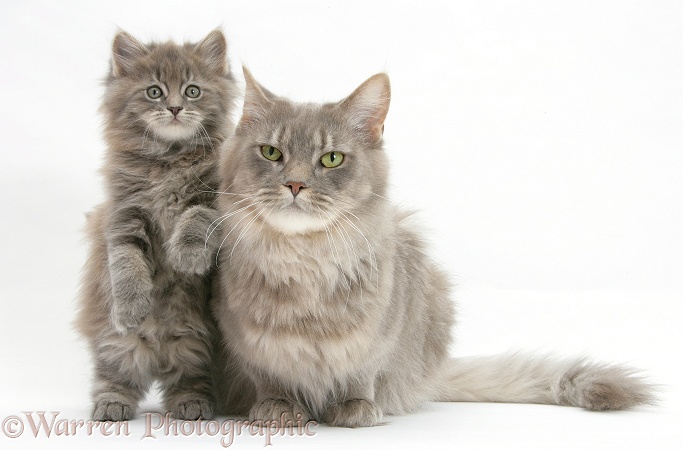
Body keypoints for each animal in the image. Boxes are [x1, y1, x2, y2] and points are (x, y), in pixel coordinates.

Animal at [76, 29, 238, 422]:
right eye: (154, 91)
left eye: (192, 90)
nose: (175, 108)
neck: (169, 160)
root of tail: (156, 351)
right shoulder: (124, 216)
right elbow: (126, 264)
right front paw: (132, 306)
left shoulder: (216, 201)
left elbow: (196, 218)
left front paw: (186, 257)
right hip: (114, 342)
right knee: (114, 373)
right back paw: (110, 406)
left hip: (196, 343)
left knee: (187, 377)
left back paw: (193, 405)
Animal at [211, 68, 656, 428]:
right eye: (272, 153)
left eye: (332, 159)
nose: (295, 184)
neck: (304, 259)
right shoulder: (246, 344)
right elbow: (270, 378)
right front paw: (278, 407)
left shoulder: (382, 336)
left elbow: (361, 374)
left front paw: (355, 407)